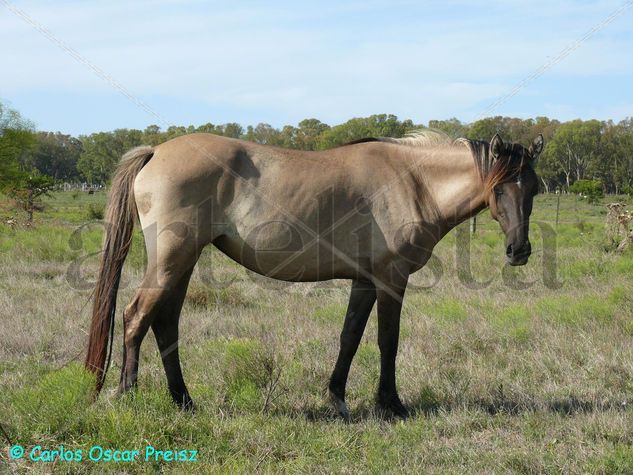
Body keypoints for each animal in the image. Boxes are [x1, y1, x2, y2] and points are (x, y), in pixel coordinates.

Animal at [84, 130, 544, 420]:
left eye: (534, 188)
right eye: (499, 188)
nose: (519, 252)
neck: (413, 181)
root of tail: (156, 152)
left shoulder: (365, 280)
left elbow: (350, 337)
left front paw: (338, 400)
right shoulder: (391, 278)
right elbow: (388, 341)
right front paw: (391, 404)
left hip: (183, 262)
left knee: (165, 323)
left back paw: (183, 401)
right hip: (171, 260)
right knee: (136, 316)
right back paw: (126, 395)